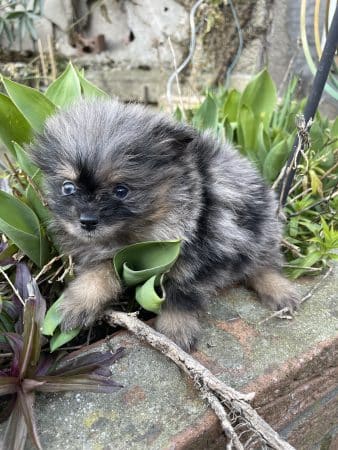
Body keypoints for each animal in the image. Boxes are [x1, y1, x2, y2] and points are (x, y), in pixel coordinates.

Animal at [29, 98, 298, 352]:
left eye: (121, 190)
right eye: (68, 188)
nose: (86, 221)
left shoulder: (197, 256)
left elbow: (180, 291)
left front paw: (177, 330)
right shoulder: (110, 257)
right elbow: (99, 273)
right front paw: (77, 303)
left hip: (260, 229)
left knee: (262, 263)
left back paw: (280, 290)